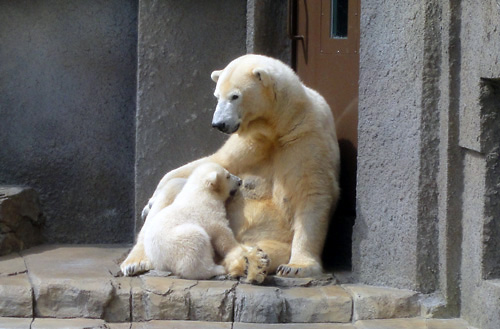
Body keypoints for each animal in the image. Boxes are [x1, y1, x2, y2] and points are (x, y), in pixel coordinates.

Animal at [121, 53, 340, 282]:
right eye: (217, 96)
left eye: (235, 96)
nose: (218, 123)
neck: (278, 125)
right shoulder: (251, 144)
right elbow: (215, 161)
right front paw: (149, 202)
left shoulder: (308, 138)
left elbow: (312, 193)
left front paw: (297, 267)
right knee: (176, 190)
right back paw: (135, 261)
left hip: (274, 242)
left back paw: (252, 264)